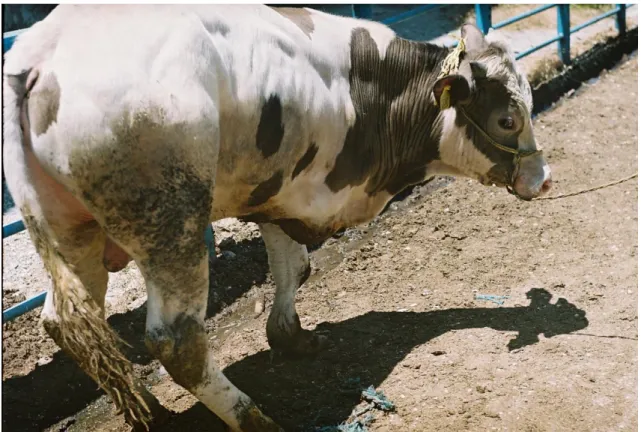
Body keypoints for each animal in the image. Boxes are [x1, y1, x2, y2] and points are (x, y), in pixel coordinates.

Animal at [3, 5, 552, 431]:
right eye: (507, 118)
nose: (544, 178)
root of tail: (41, 52)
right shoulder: (304, 192)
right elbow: (295, 265)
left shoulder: (276, 194)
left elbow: (293, 269)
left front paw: (292, 337)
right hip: (170, 225)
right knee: (176, 340)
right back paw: (251, 417)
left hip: (70, 231)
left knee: (68, 325)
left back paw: (148, 408)